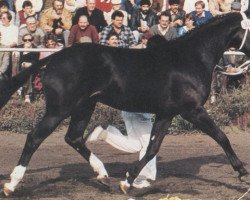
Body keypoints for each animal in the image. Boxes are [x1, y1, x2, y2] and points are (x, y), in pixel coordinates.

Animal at [0, 9, 250, 195]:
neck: (191, 57)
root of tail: (55, 57)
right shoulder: (192, 110)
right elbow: (221, 137)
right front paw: (242, 173)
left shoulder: (166, 113)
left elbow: (151, 148)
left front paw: (128, 181)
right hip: (59, 109)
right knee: (34, 137)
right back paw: (11, 184)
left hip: (84, 106)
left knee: (74, 137)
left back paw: (102, 174)